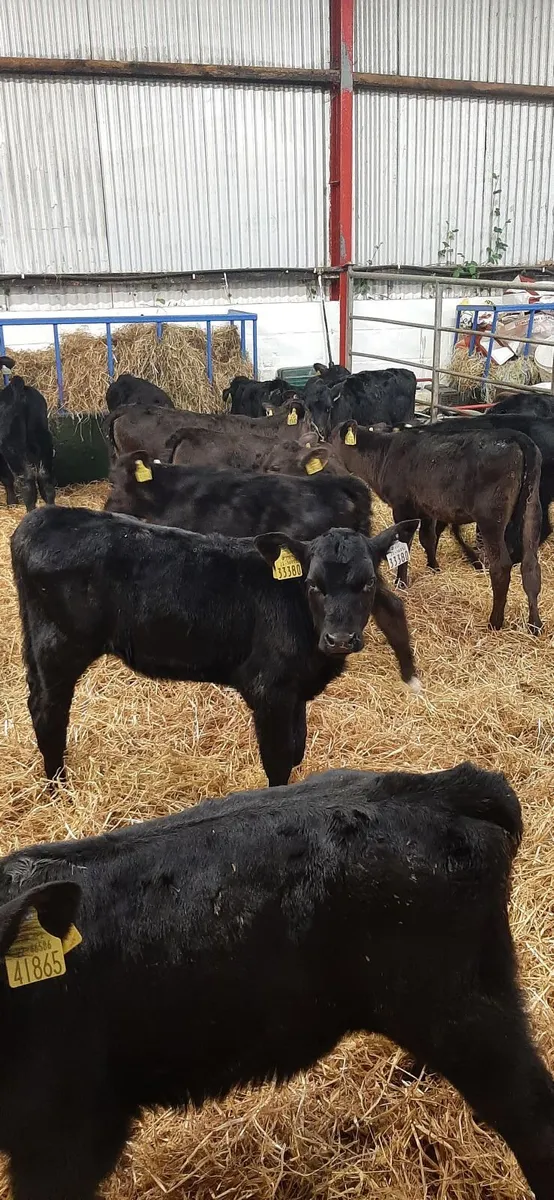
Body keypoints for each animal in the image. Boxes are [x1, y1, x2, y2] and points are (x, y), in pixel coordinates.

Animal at [0, 359, 55, 510]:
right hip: (43, 438)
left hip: (12, 446)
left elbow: (6, 477)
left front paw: (11, 502)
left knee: (27, 480)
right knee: (45, 478)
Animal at [11, 507, 419, 785]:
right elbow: (279, 759)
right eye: (313, 584)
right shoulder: (268, 689)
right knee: (48, 710)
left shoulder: (294, 688)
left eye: (368, 583)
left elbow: (298, 746)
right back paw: (58, 787)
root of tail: (42, 518)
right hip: (59, 646)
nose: (339, 639)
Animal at [332, 421, 542, 632]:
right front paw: (434, 568)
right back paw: (535, 624)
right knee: (530, 565)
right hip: (532, 508)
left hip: (491, 518)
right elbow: (428, 538)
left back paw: (495, 622)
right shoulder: (427, 509)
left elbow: (404, 545)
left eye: (330, 440)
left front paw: (401, 582)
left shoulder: (402, 507)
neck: (385, 452)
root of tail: (517, 437)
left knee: (501, 566)